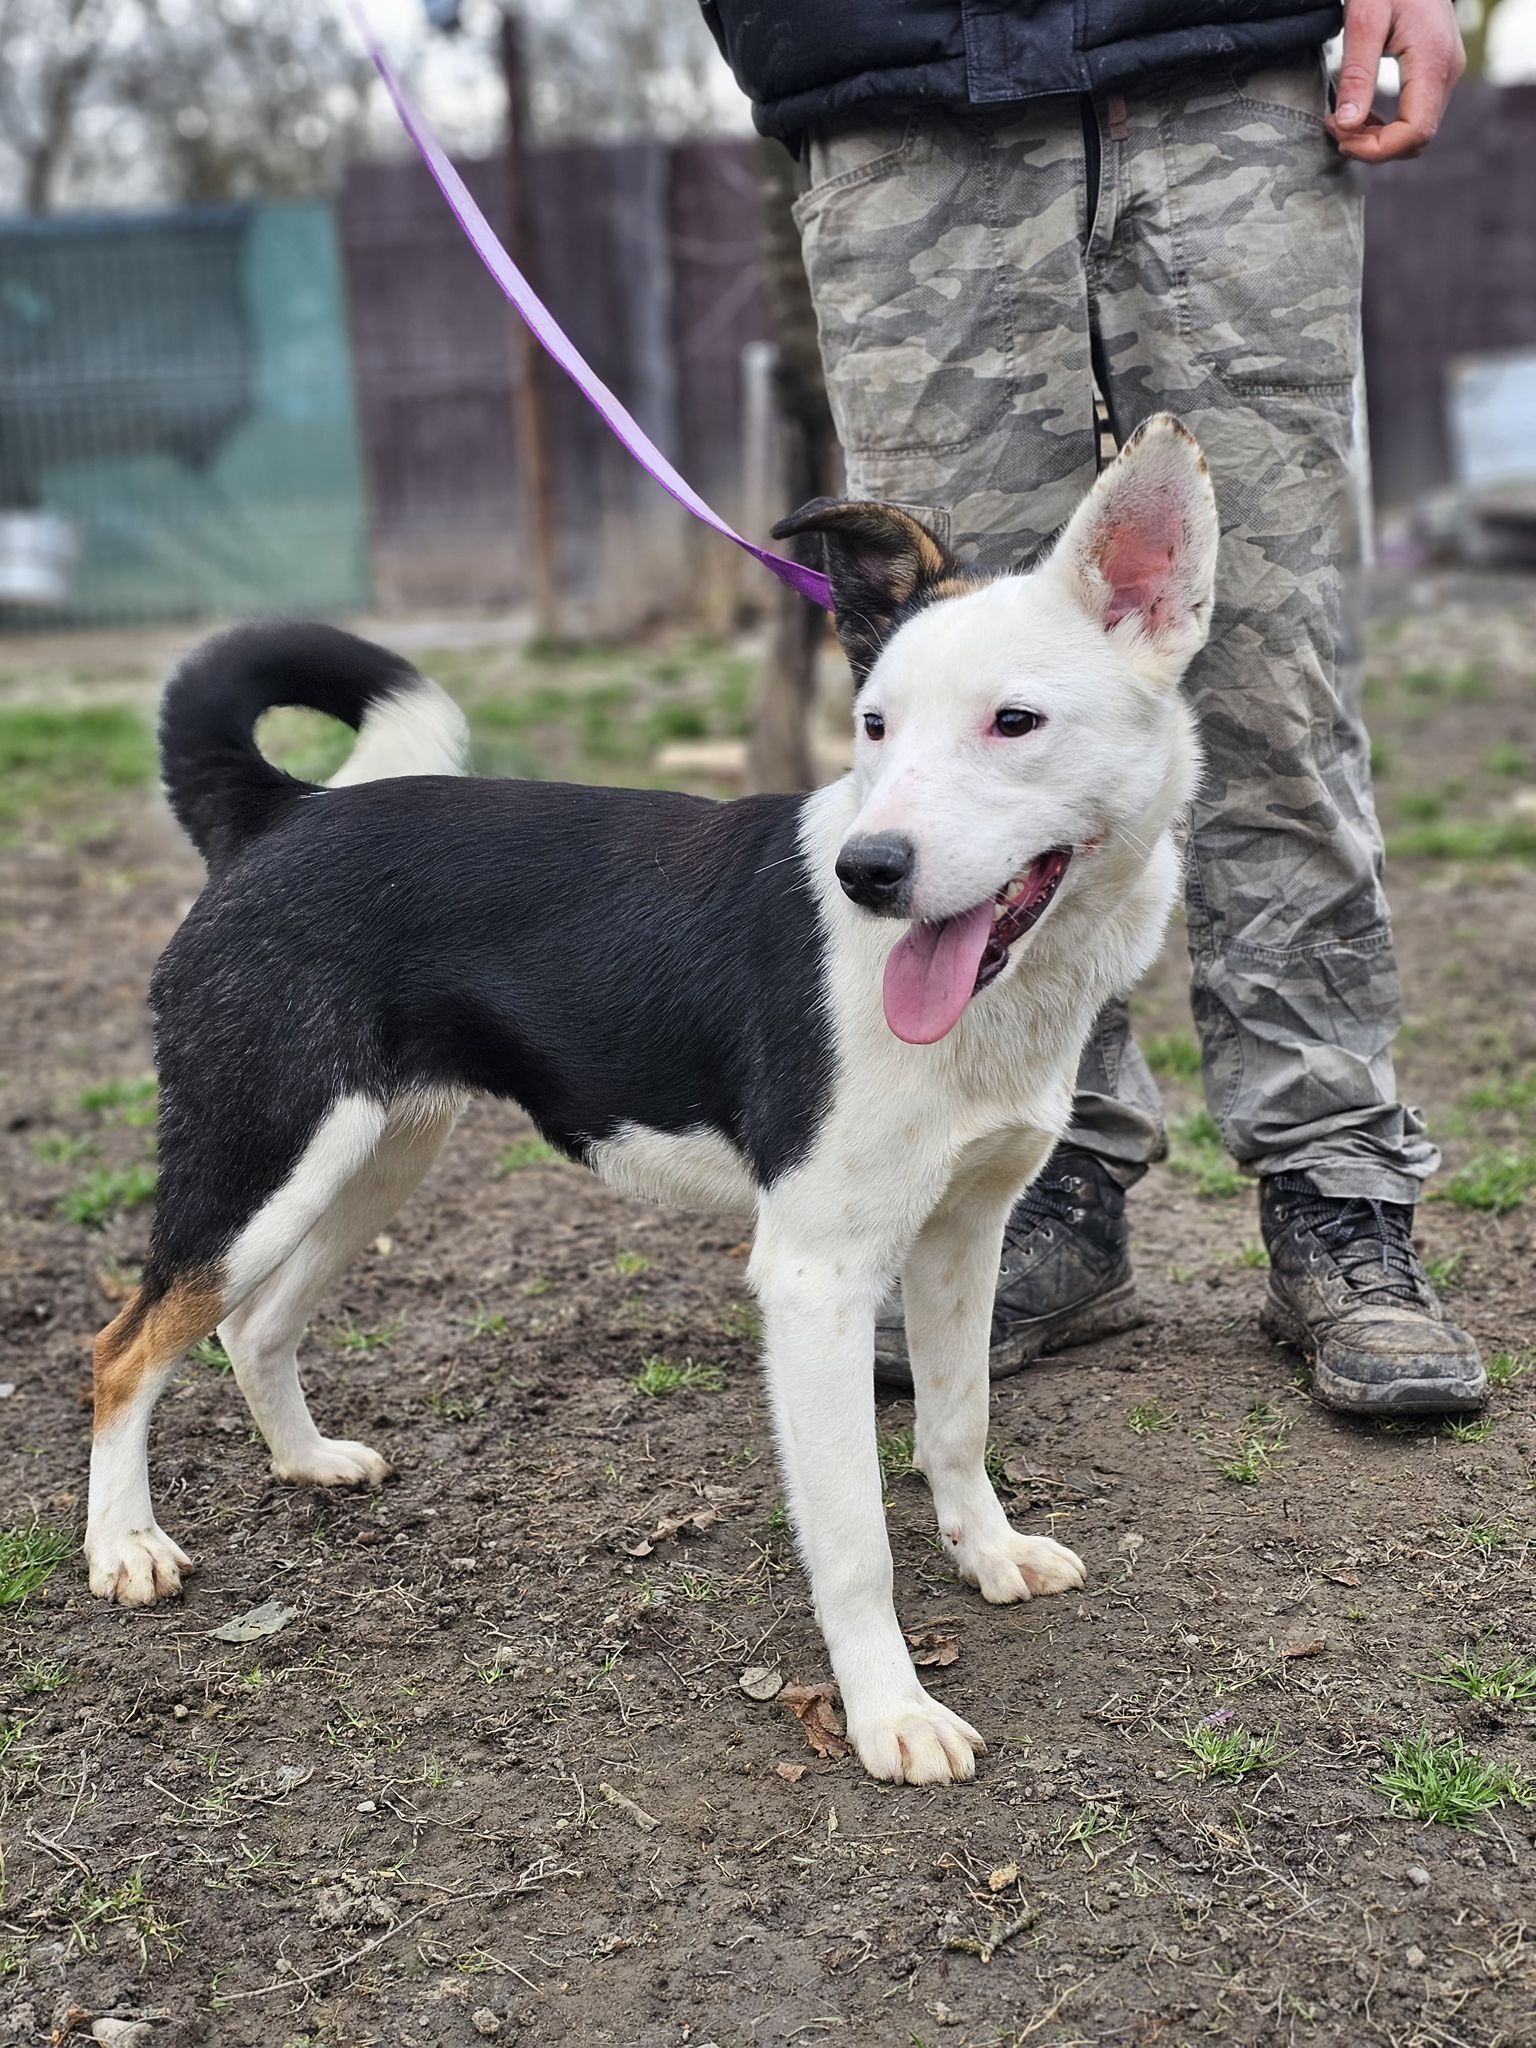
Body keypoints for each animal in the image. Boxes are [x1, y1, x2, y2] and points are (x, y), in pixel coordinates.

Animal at [86, 414, 1215, 1785]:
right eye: (874, 724)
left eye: (1015, 721)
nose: (867, 872)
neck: (1006, 996)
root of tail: (283, 812)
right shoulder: (815, 1275)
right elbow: (854, 1541)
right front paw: (890, 1711)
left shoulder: (964, 1232)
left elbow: (958, 1421)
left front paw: (988, 1553)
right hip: (260, 1155)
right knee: (125, 1345)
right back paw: (122, 1547)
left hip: (371, 1157)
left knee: (251, 1324)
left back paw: (307, 1460)